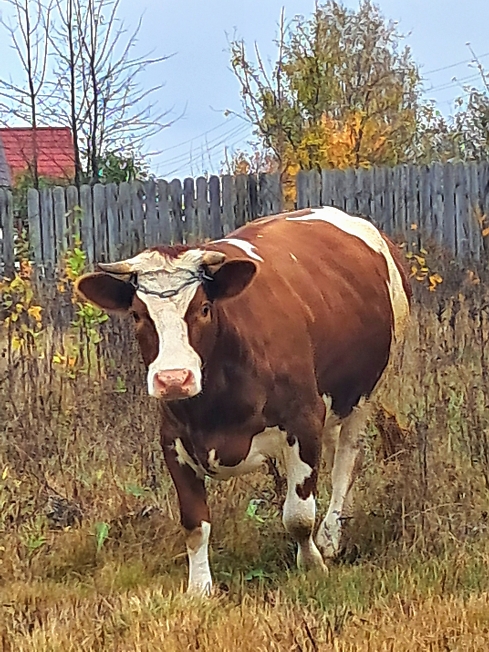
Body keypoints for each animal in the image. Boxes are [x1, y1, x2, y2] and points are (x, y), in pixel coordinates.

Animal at [76, 208, 410, 596]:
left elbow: (298, 515)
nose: (173, 379)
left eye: (204, 308)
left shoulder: (304, 419)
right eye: (137, 315)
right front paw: (199, 588)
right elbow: (195, 525)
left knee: (347, 457)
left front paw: (312, 564)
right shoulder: (173, 439)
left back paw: (330, 535)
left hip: (366, 390)